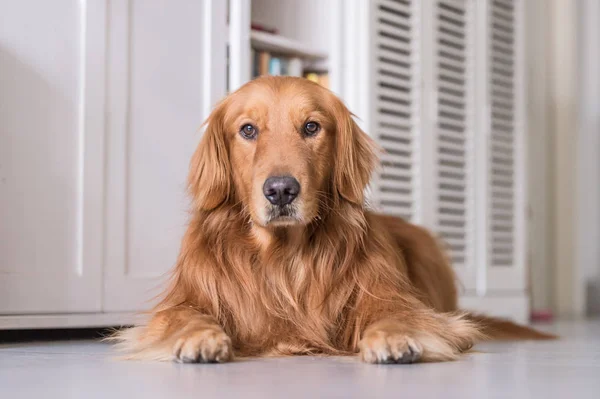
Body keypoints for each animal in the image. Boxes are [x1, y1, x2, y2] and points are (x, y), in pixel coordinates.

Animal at [116, 76, 552, 364]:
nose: (281, 190)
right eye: (248, 130)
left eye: (311, 127)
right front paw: (199, 337)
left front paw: (395, 337)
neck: (285, 258)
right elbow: (184, 316)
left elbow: (399, 315)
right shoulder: (187, 299)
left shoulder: (395, 299)